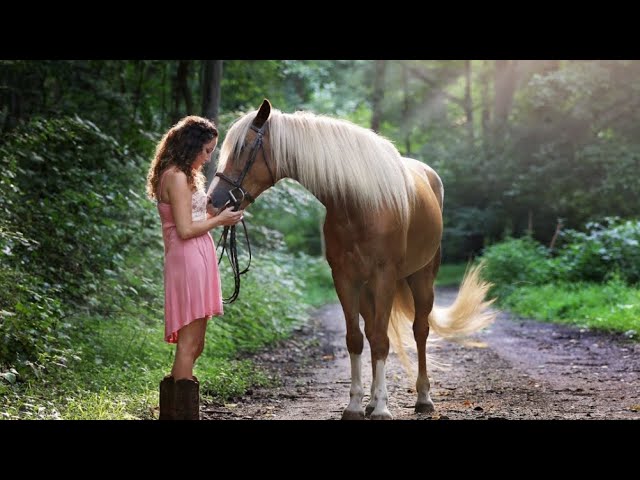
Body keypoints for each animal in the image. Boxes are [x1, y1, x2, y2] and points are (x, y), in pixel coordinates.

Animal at [208, 99, 496, 420]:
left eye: (244, 148)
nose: (214, 201)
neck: (359, 204)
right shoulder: (345, 278)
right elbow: (356, 339)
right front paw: (357, 405)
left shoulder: (384, 277)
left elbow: (383, 340)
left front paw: (382, 408)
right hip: (368, 288)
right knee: (371, 332)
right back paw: (371, 401)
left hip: (421, 278)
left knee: (419, 331)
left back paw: (422, 398)